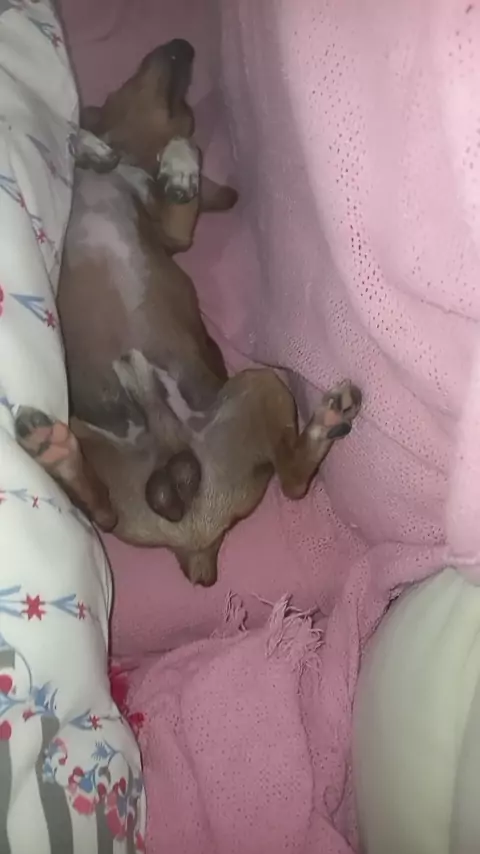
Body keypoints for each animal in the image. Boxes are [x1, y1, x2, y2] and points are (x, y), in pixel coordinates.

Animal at [15, 39, 362, 586]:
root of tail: (195, 538)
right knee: (102, 509)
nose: (183, 46)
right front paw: (88, 145)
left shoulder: (175, 233)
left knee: (292, 482)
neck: (131, 162)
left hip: (260, 384)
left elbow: (176, 180)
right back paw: (56, 451)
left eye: (187, 115)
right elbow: (90, 144)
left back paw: (324, 422)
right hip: (106, 444)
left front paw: (176, 162)